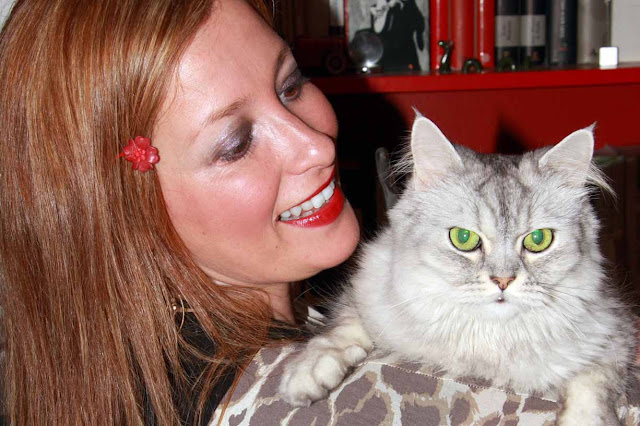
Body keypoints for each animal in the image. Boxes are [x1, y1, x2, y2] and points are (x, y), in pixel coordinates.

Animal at [280, 114, 637, 425]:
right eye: (463, 238)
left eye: (538, 240)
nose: (503, 280)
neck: (486, 344)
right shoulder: (369, 286)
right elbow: (343, 327)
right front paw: (308, 371)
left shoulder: (617, 331)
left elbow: (594, 382)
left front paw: (585, 418)